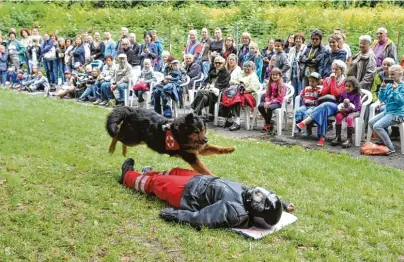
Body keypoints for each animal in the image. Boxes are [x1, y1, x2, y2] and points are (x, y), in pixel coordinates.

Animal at [105, 106, 235, 176]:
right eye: (196, 131)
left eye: (203, 130)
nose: (206, 140)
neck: (180, 132)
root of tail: (131, 110)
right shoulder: (191, 156)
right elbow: (205, 169)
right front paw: (215, 177)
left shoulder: (198, 148)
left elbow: (216, 148)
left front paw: (230, 149)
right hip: (133, 138)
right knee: (116, 136)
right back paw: (111, 149)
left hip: (139, 140)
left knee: (121, 138)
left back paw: (124, 151)